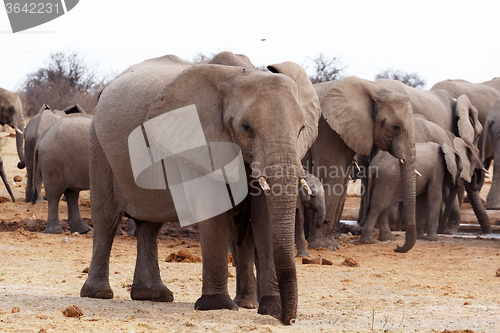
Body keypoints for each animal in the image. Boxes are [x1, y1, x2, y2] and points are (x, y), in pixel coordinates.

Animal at [304, 77, 418, 252]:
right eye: (396, 128)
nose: (397, 247)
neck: (375, 90)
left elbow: (342, 183)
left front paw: (330, 244)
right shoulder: (327, 130)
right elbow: (334, 179)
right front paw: (324, 246)